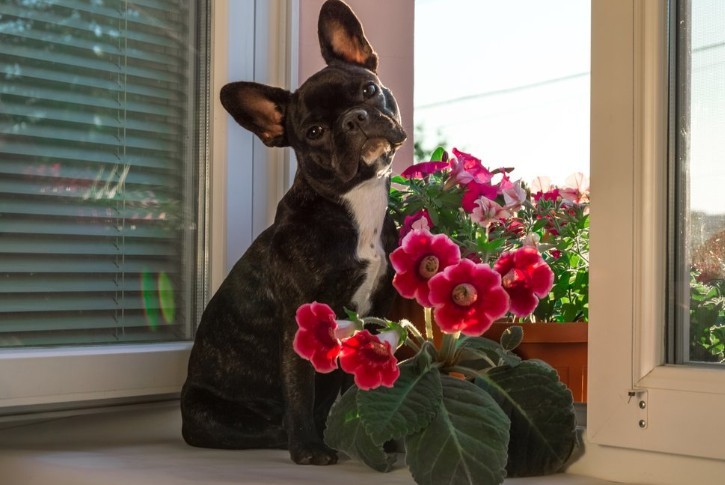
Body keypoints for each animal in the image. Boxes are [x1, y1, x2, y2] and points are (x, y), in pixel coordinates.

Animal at [180, 0, 408, 466]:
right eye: (315, 133)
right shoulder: (302, 321)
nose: (354, 119)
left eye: (367, 91)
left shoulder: (380, 314)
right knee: (266, 427)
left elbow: (371, 382)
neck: (354, 202)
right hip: (208, 412)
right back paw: (298, 438)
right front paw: (309, 450)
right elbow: (299, 388)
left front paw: (378, 440)